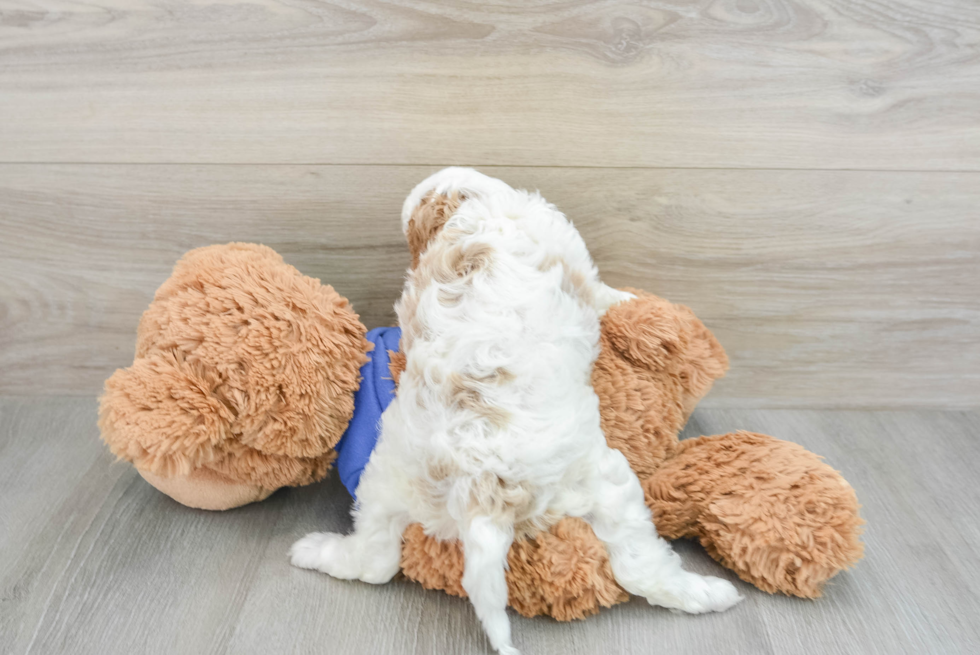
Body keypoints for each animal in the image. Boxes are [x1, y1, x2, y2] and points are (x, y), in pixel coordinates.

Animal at [290, 168, 744, 652]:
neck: (471, 204)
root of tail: (479, 492)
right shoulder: (574, 257)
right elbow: (602, 292)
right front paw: (625, 299)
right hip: (603, 482)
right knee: (639, 567)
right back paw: (709, 593)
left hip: (387, 482)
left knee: (374, 560)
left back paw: (314, 551)